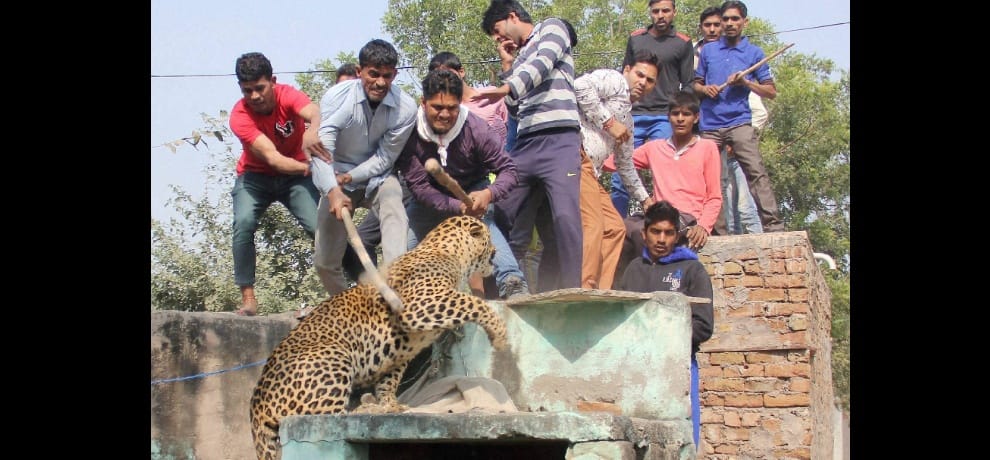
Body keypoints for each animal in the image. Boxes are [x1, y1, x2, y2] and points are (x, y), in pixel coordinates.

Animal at [249, 215, 509, 460]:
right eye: (488, 239)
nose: (496, 252)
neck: (452, 254)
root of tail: (256, 405)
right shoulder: (417, 304)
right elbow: (472, 302)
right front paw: (499, 333)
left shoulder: (399, 353)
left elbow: (389, 380)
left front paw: (390, 404)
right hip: (333, 356)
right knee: (324, 418)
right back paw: (363, 409)